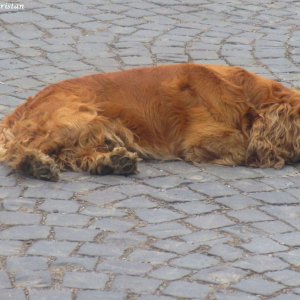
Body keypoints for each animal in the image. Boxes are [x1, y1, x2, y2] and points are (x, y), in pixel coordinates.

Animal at [0, 63, 300, 180]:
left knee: (73, 155)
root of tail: (24, 106)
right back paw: (34, 164)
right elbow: (243, 144)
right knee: (22, 150)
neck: (248, 97)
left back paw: (113, 162)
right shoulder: (202, 139)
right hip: (76, 119)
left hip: (97, 126)